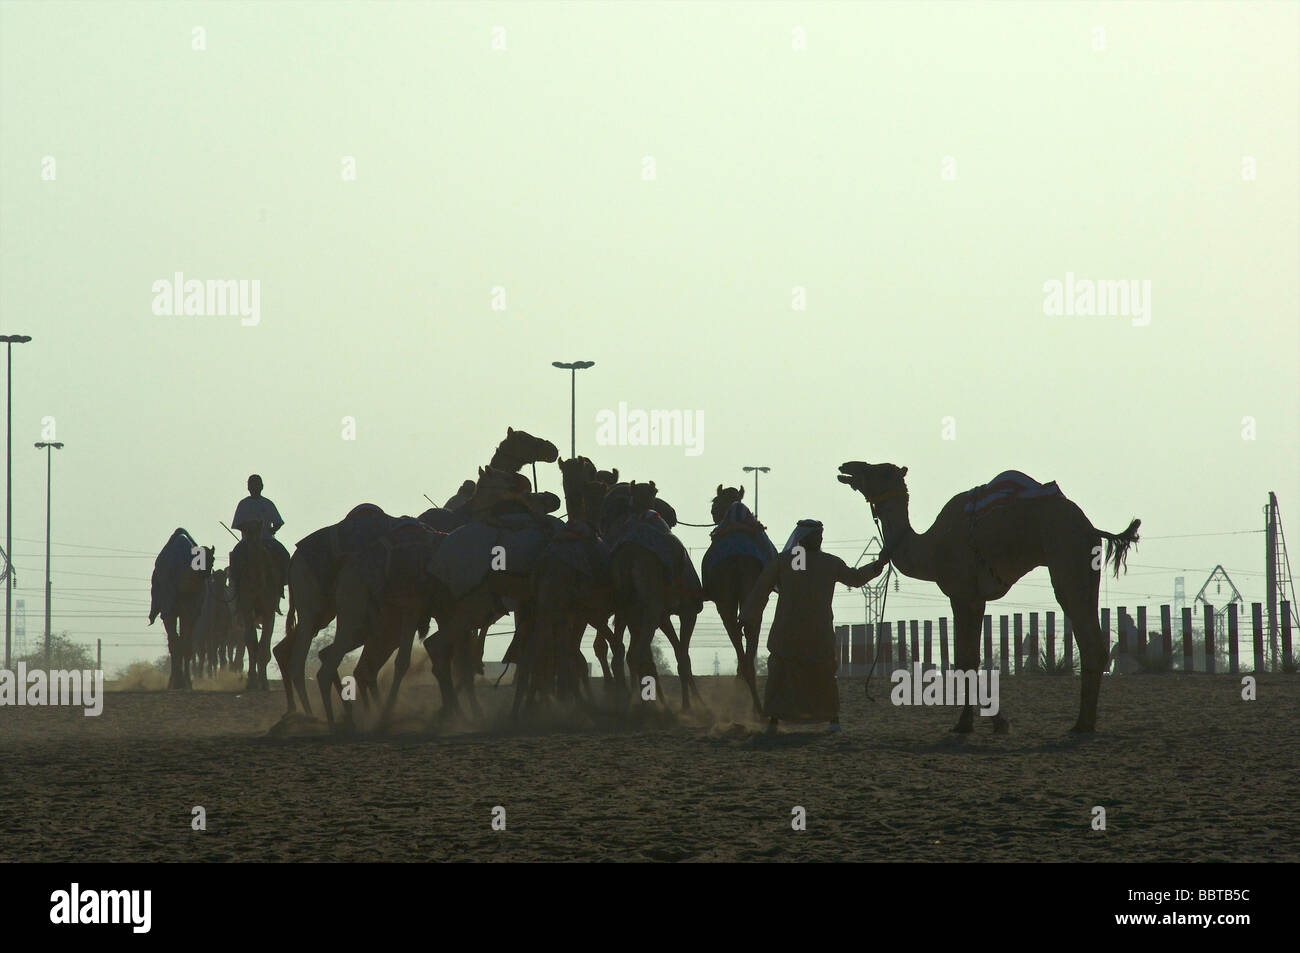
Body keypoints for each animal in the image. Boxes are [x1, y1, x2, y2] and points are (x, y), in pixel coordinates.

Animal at [832, 460, 1138, 728]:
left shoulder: (961, 593)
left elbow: (964, 658)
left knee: (1085, 634)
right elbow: (973, 657)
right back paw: (1085, 722)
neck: (931, 548)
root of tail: (1091, 527)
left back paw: (1081, 724)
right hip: (1088, 568)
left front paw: (969, 723)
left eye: (879, 470)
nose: (846, 467)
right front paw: (992, 721)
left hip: (1067, 557)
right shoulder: (976, 599)